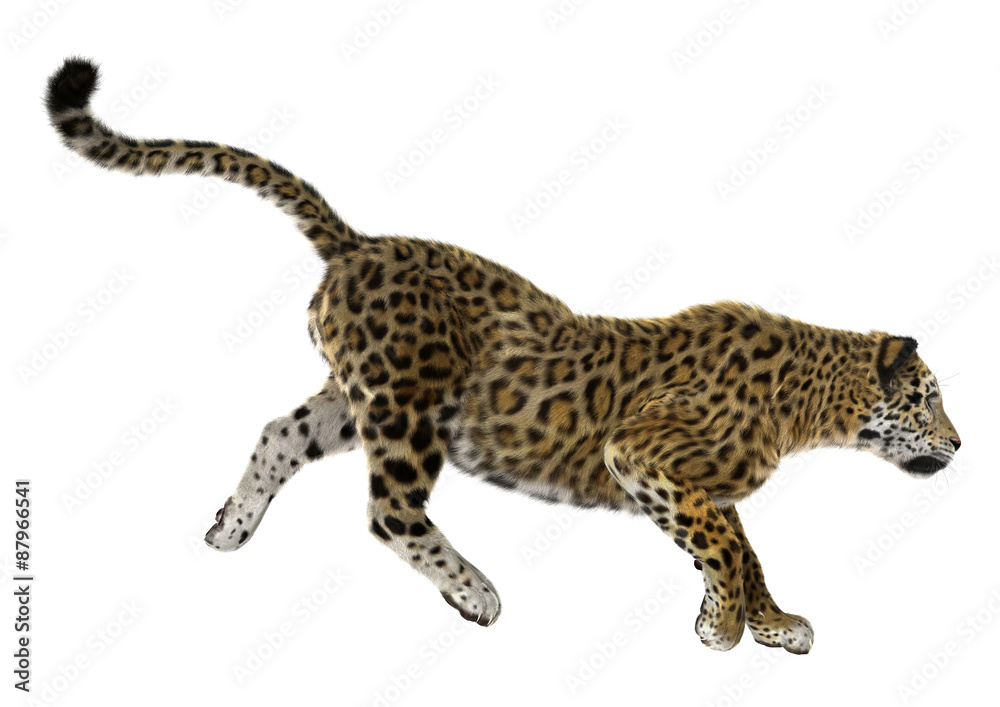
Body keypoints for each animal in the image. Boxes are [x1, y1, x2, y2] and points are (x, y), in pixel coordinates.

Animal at [46, 58, 961, 653]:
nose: (958, 443)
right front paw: (725, 627)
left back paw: (230, 530)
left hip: (355, 399)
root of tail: (360, 243)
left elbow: (742, 545)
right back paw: (476, 592)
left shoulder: (692, 475)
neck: (815, 403)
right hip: (409, 409)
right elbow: (721, 542)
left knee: (279, 433)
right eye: (927, 397)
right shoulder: (642, 454)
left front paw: (767, 620)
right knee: (388, 511)